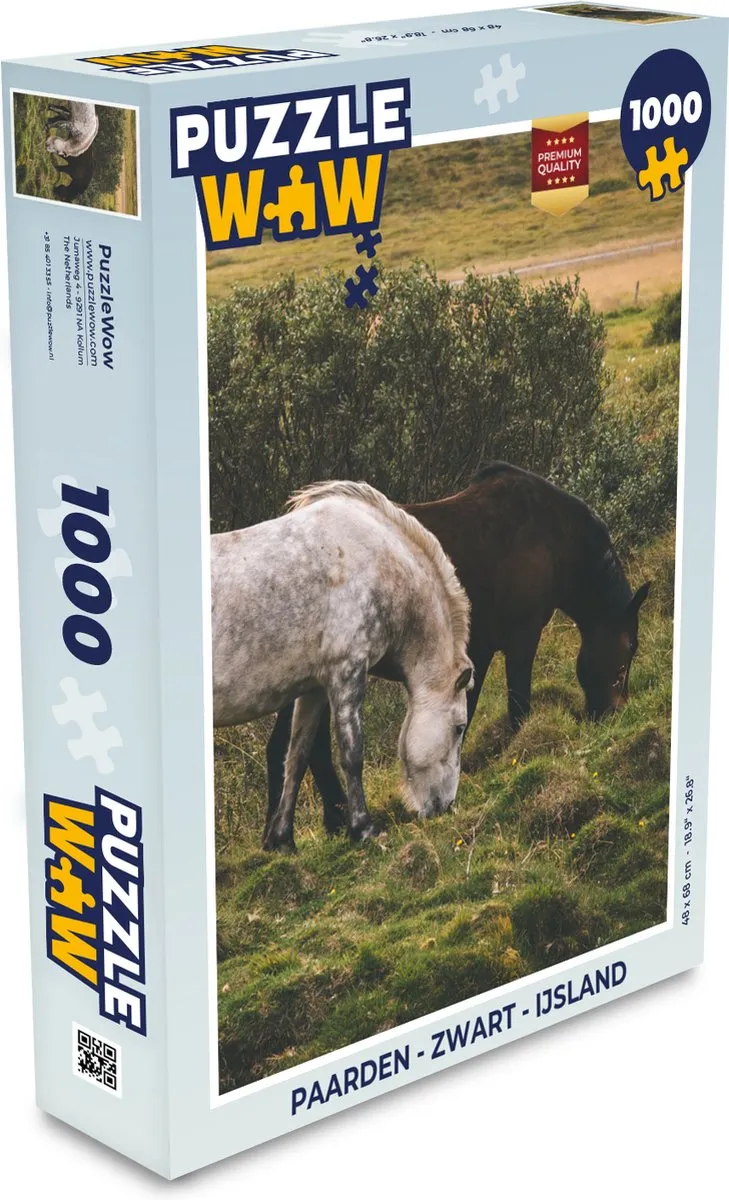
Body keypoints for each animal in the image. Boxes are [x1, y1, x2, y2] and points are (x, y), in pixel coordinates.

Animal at [212, 481, 473, 852]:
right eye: (459, 728)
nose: (446, 806)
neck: (375, 560)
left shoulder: (314, 688)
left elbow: (297, 756)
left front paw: (282, 839)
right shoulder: (346, 673)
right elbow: (352, 753)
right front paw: (362, 828)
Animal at [266, 463, 651, 834]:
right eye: (630, 647)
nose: (614, 711)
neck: (553, 540)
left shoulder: (476, 652)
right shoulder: (520, 640)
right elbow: (516, 707)